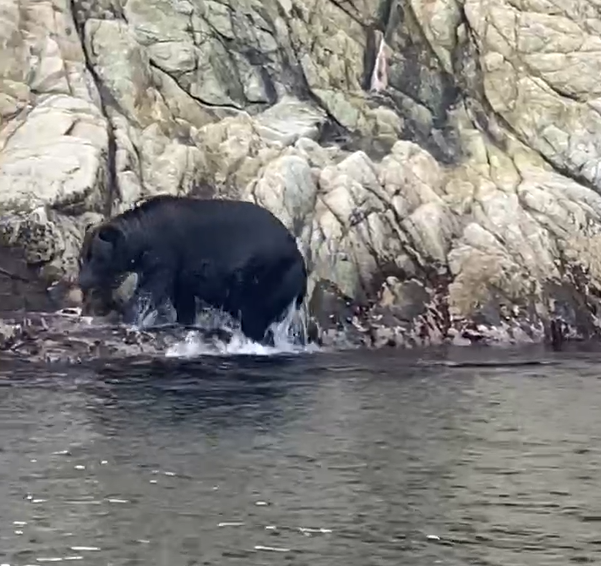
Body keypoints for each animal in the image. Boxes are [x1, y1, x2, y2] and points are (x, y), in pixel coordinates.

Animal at [77, 197, 308, 344]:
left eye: (94, 257)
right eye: (83, 256)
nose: (81, 281)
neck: (144, 236)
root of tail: (301, 259)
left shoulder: (166, 254)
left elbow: (150, 290)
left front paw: (129, 318)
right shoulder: (182, 272)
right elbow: (183, 299)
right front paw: (183, 321)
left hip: (268, 274)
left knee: (255, 316)